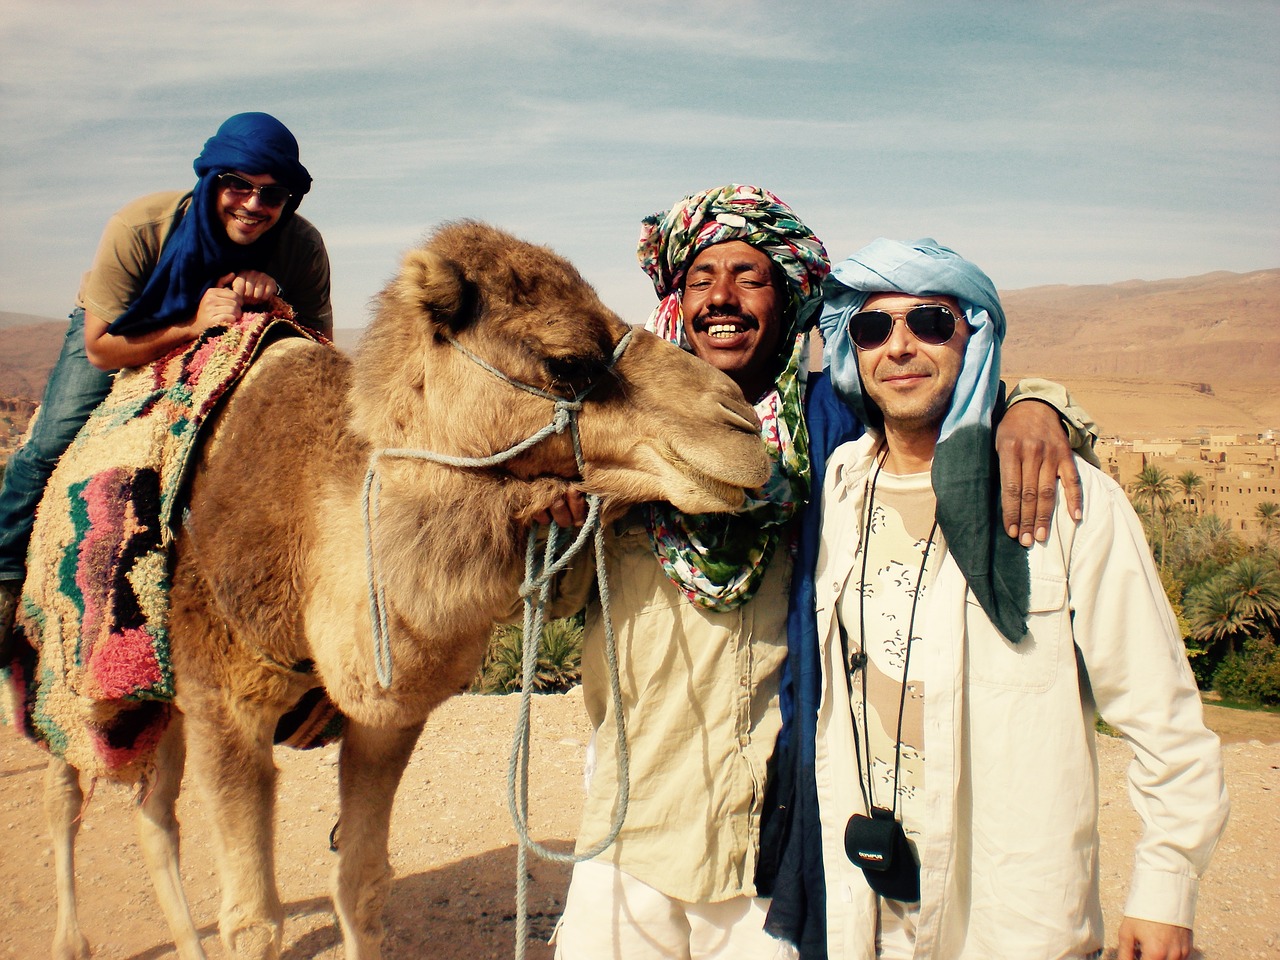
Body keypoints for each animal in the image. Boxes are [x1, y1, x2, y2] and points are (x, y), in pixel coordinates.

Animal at [42, 221, 768, 957]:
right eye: (565, 361)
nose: (740, 424)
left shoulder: (386, 717)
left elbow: (361, 885)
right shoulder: (224, 701)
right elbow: (253, 921)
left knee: (153, 811)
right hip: (72, 678)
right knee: (70, 792)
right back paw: (70, 938)